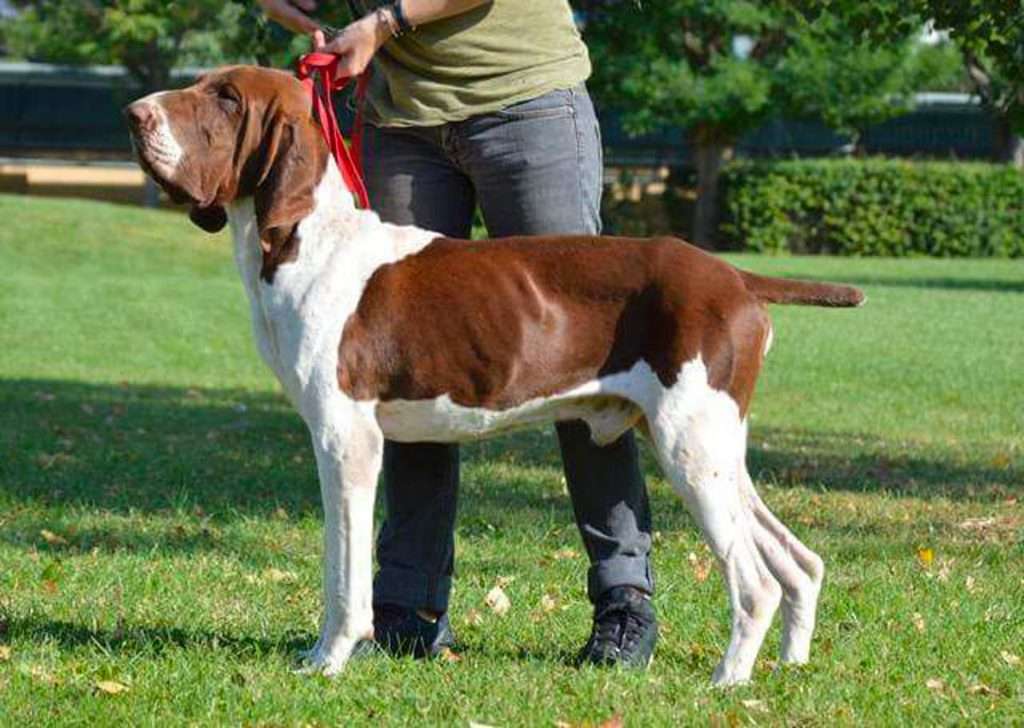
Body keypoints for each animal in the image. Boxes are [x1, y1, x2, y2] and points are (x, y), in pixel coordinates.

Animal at [128, 65, 864, 688]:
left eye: (227, 98)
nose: (135, 113)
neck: (309, 240)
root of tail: (734, 276)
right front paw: (324, 653)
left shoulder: (346, 440)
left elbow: (345, 574)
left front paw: (331, 660)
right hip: (712, 449)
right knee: (799, 562)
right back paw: (792, 663)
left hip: (691, 446)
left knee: (755, 581)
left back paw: (727, 681)